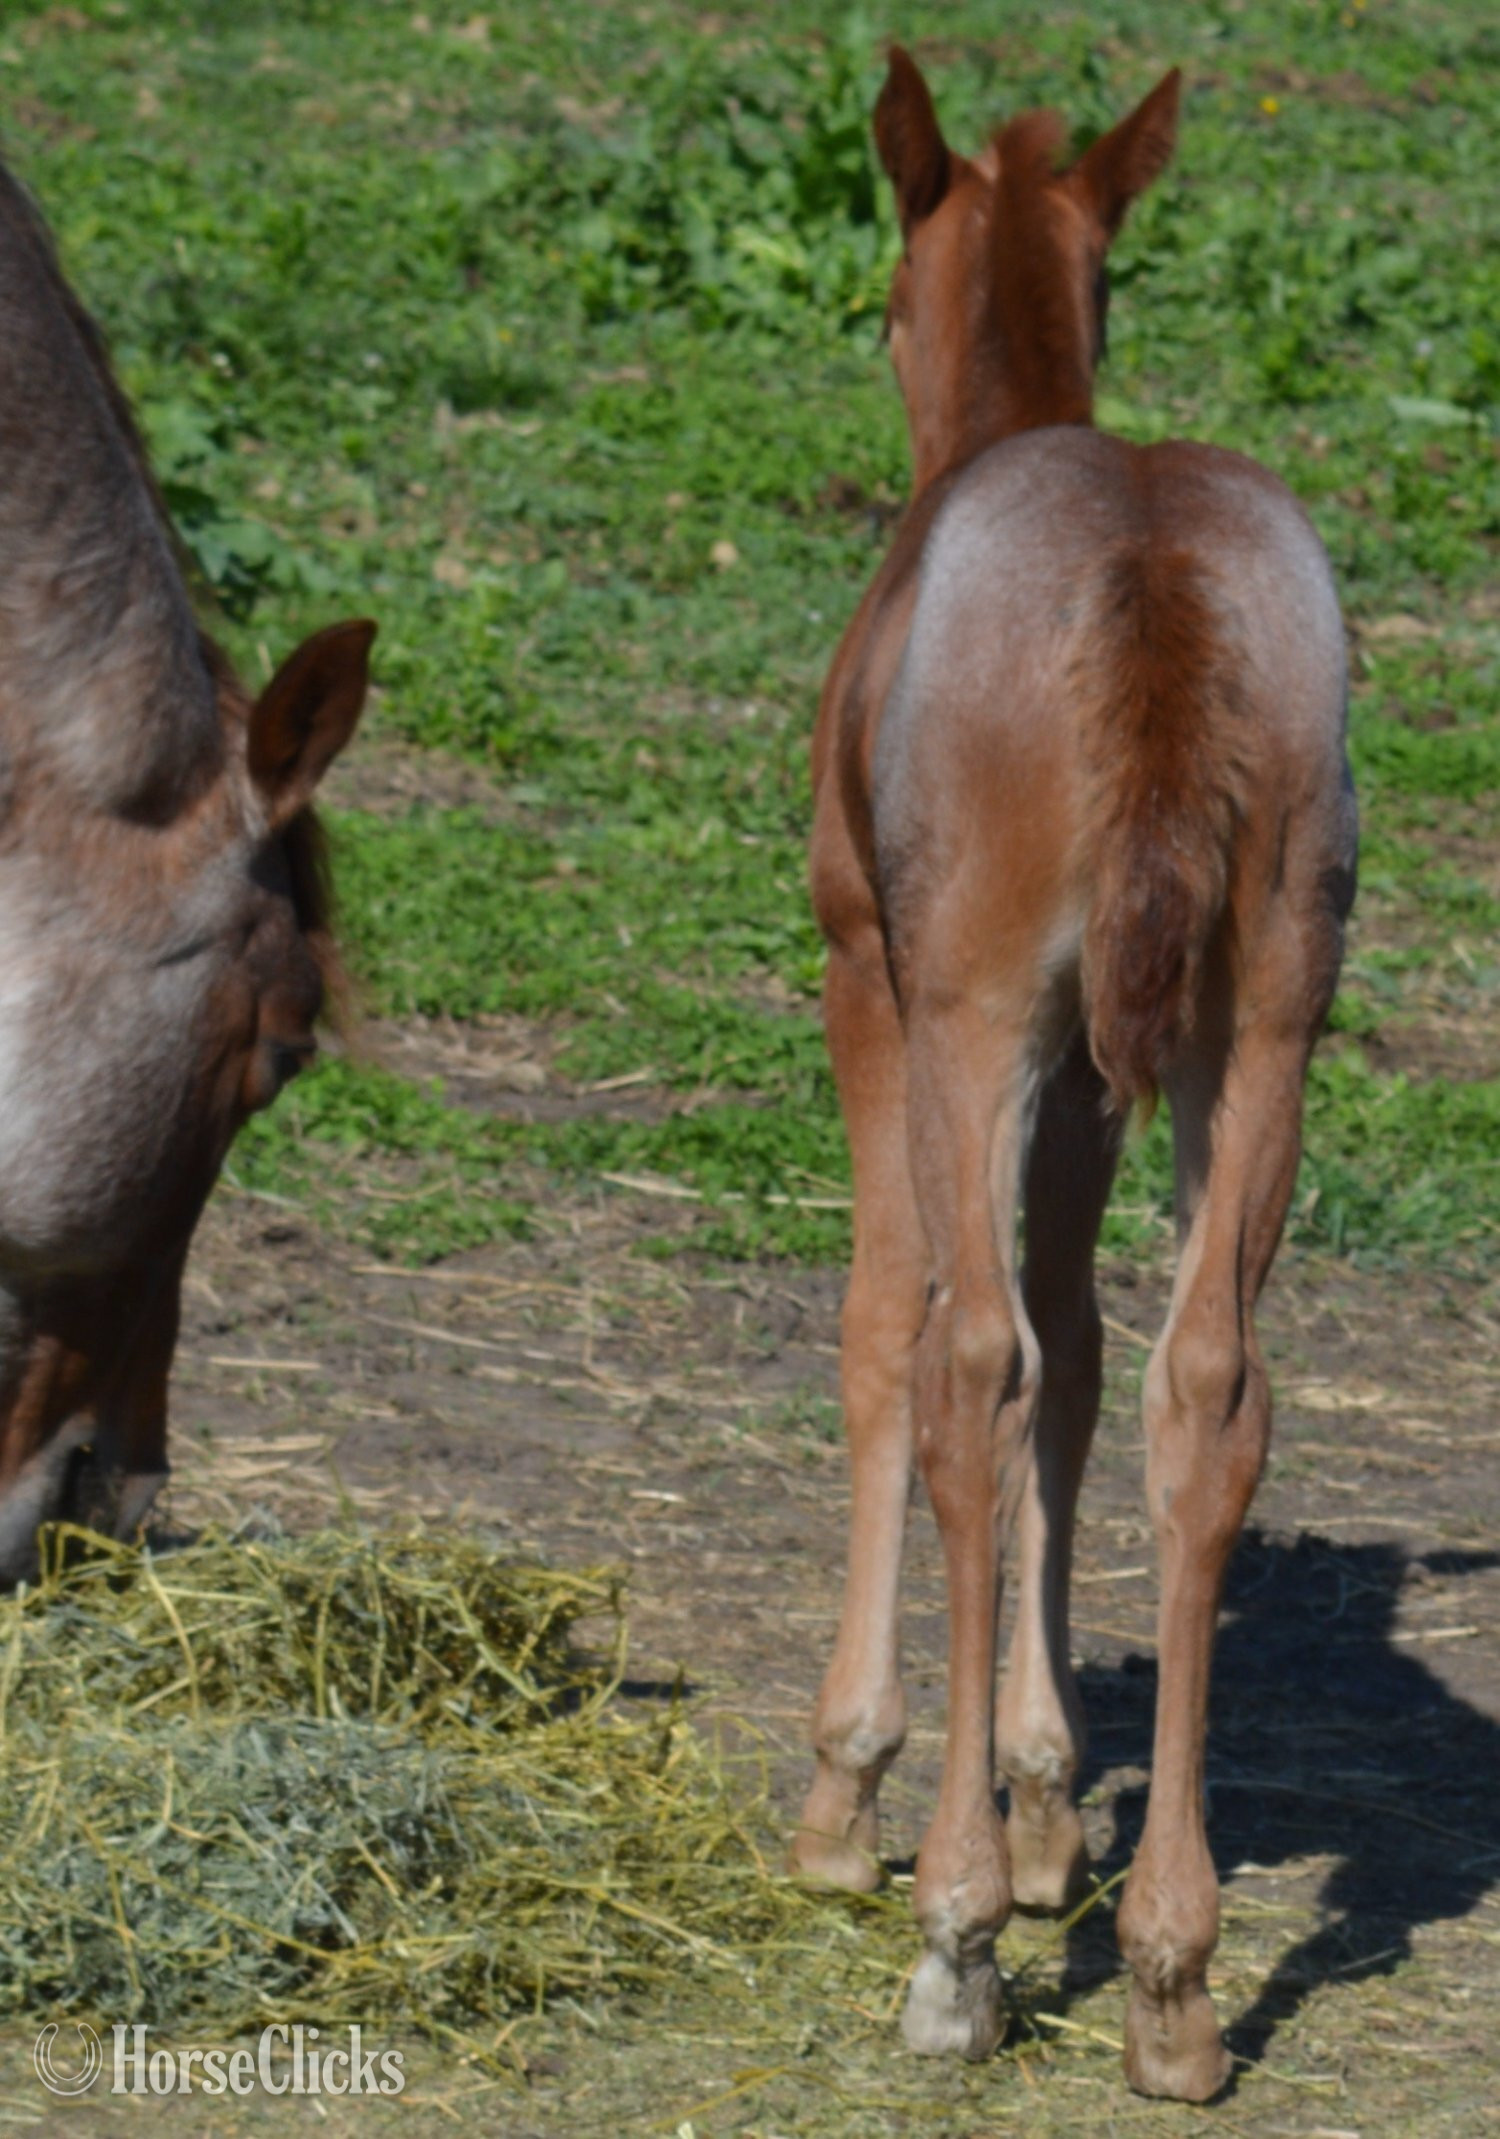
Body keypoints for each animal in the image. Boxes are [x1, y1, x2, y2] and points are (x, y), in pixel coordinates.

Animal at [790, 52, 1356, 2102]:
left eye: (885, 294)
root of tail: (1154, 577)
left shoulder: (878, 979)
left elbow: (900, 1329)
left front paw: (859, 1792)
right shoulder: (1111, 1061)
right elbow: (1094, 1349)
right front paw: (1046, 1808)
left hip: (966, 1012)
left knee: (970, 1358)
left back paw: (951, 1940)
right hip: (1259, 1025)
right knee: (1209, 1391)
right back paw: (1174, 1976)